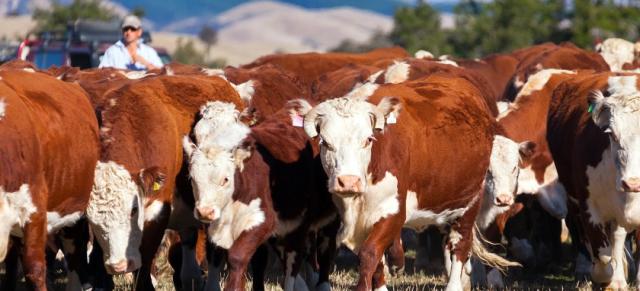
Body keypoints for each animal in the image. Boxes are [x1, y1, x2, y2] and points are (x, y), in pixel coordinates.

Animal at [288, 76, 516, 291]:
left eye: (368, 139)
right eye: (325, 142)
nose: (348, 182)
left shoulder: (393, 213)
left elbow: (369, 254)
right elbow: (377, 264)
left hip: (469, 203)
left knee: (460, 246)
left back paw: (454, 285)